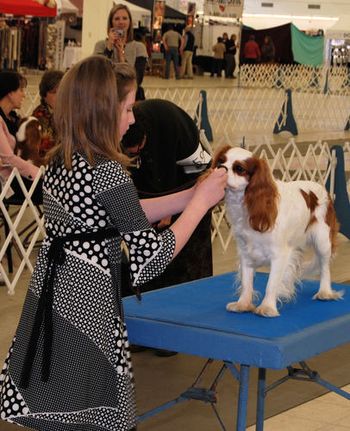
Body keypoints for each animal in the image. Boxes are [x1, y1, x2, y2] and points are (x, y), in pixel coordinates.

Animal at [212, 146, 344, 318]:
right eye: (220, 161)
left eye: (239, 169)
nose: (220, 168)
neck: (246, 205)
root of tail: (322, 188)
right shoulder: (246, 252)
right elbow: (247, 282)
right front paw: (243, 304)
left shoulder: (280, 255)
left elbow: (271, 284)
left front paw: (267, 307)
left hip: (323, 241)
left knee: (325, 267)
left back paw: (325, 292)